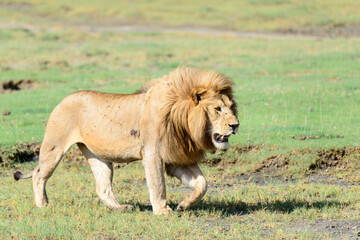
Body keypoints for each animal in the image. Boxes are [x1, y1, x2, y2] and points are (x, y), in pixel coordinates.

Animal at [14, 66, 239, 215]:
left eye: (230, 107)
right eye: (217, 109)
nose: (235, 125)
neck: (182, 121)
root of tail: (62, 100)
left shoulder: (177, 158)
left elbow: (202, 183)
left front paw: (185, 204)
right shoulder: (153, 154)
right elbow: (158, 184)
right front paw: (162, 210)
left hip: (98, 157)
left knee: (103, 188)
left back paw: (120, 208)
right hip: (54, 147)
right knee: (39, 176)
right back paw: (43, 205)